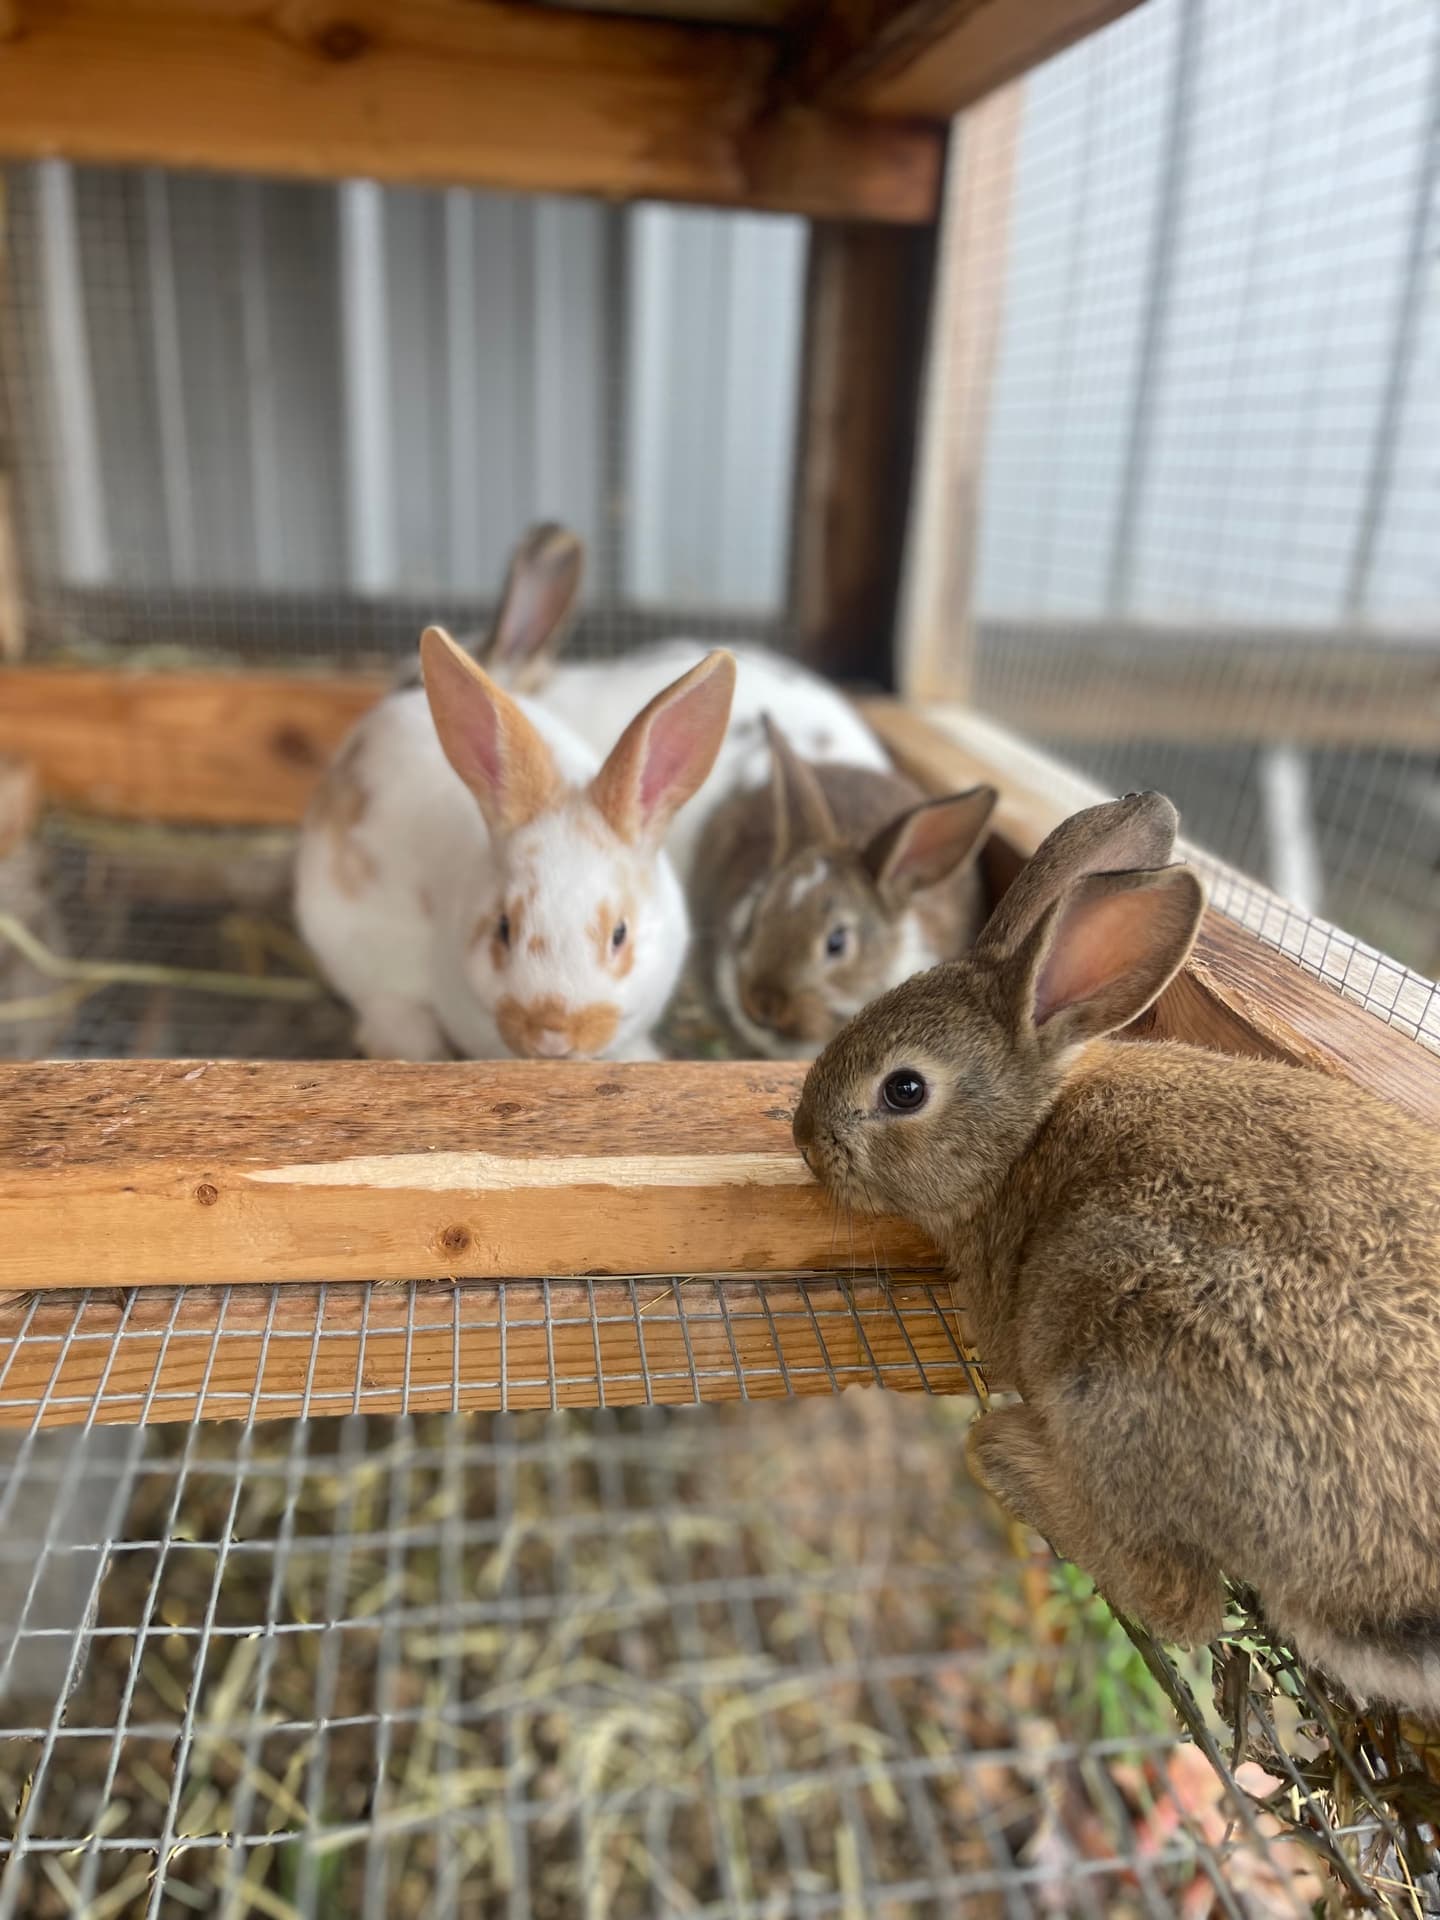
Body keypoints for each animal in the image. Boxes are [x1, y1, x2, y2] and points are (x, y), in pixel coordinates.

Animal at [792, 790, 1440, 1718]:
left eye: (904, 1089)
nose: (805, 1138)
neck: (1026, 1134)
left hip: (1128, 1365)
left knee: (1181, 1601)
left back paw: (1009, 1455)